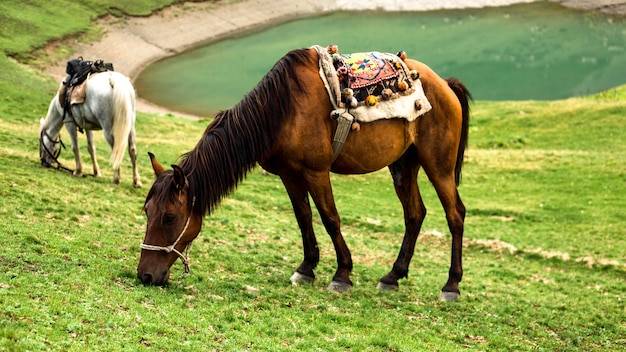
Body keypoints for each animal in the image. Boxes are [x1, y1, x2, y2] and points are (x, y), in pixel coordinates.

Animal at [138, 45, 468, 302]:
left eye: (169, 217)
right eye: (147, 211)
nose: (145, 275)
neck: (281, 111)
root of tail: (444, 84)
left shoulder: (316, 172)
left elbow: (330, 219)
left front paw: (342, 275)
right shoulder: (289, 174)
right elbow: (303, 217)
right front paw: (306, 269)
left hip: (438, 165)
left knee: (455, 214)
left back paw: (450, 286)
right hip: (403, 165)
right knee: (415, 213)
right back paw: (392, 277)